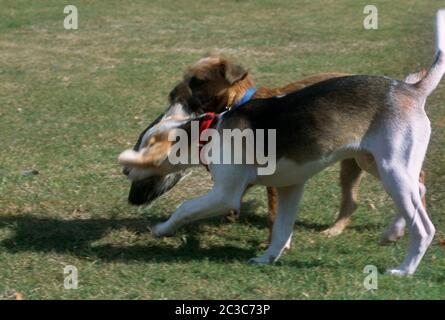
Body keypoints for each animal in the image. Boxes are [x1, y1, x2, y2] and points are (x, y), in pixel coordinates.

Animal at [119, 10, 444, 276]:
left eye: (143, 145)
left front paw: (161, 229)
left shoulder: (225, 195)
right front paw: (268, 257)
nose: (124, 170)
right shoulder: (289, 188)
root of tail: (412, 89)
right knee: (419, 189)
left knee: (424, 227)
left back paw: (405, 268)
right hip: (372, 162)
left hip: (391, 170)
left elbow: (184, 208)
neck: (209, 130)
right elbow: (281, 229)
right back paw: (393, 232)